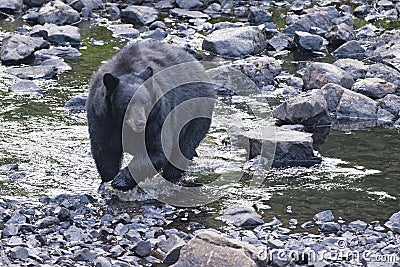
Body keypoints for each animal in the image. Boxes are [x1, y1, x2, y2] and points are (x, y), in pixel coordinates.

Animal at [86, 39, 216, 192]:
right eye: (128, 103)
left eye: (145, 102)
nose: (141, 123)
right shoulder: (102, 117)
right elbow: (105, 149)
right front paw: (108, 180)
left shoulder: (158, 117)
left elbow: (156, 150)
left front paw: (120, 180)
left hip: (196, 111)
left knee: (183, 149)